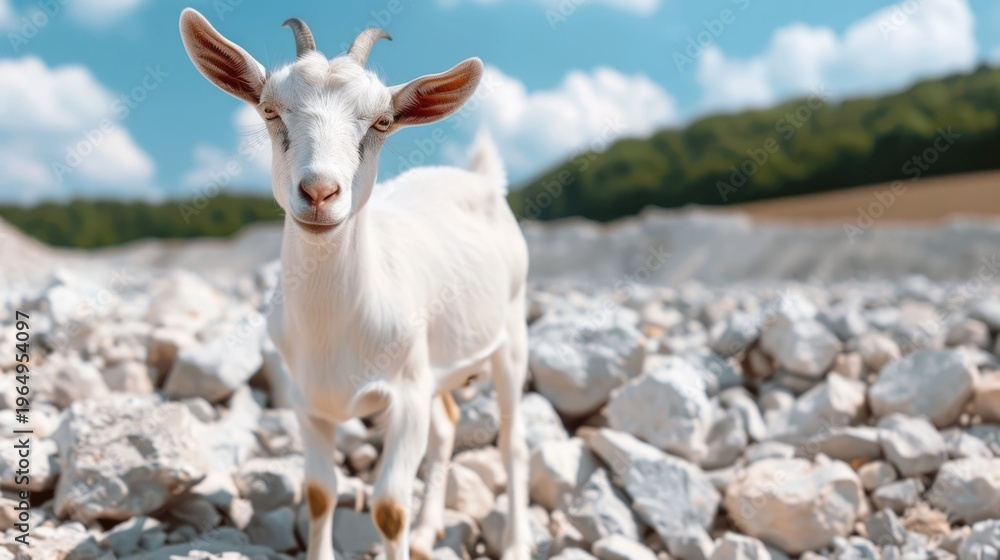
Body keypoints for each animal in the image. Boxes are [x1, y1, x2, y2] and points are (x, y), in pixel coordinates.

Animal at [180, 9, 531, 560]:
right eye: (269, 109)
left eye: (382, 121)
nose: (320, 192)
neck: (335, 329)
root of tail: (483, 181)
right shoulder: (308, 403)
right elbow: (320, 493)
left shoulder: (405, 397)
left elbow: (389, 509)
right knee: (447, 425)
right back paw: (428, 532)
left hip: (511, 333)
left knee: (512, 439)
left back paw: (515, 543)